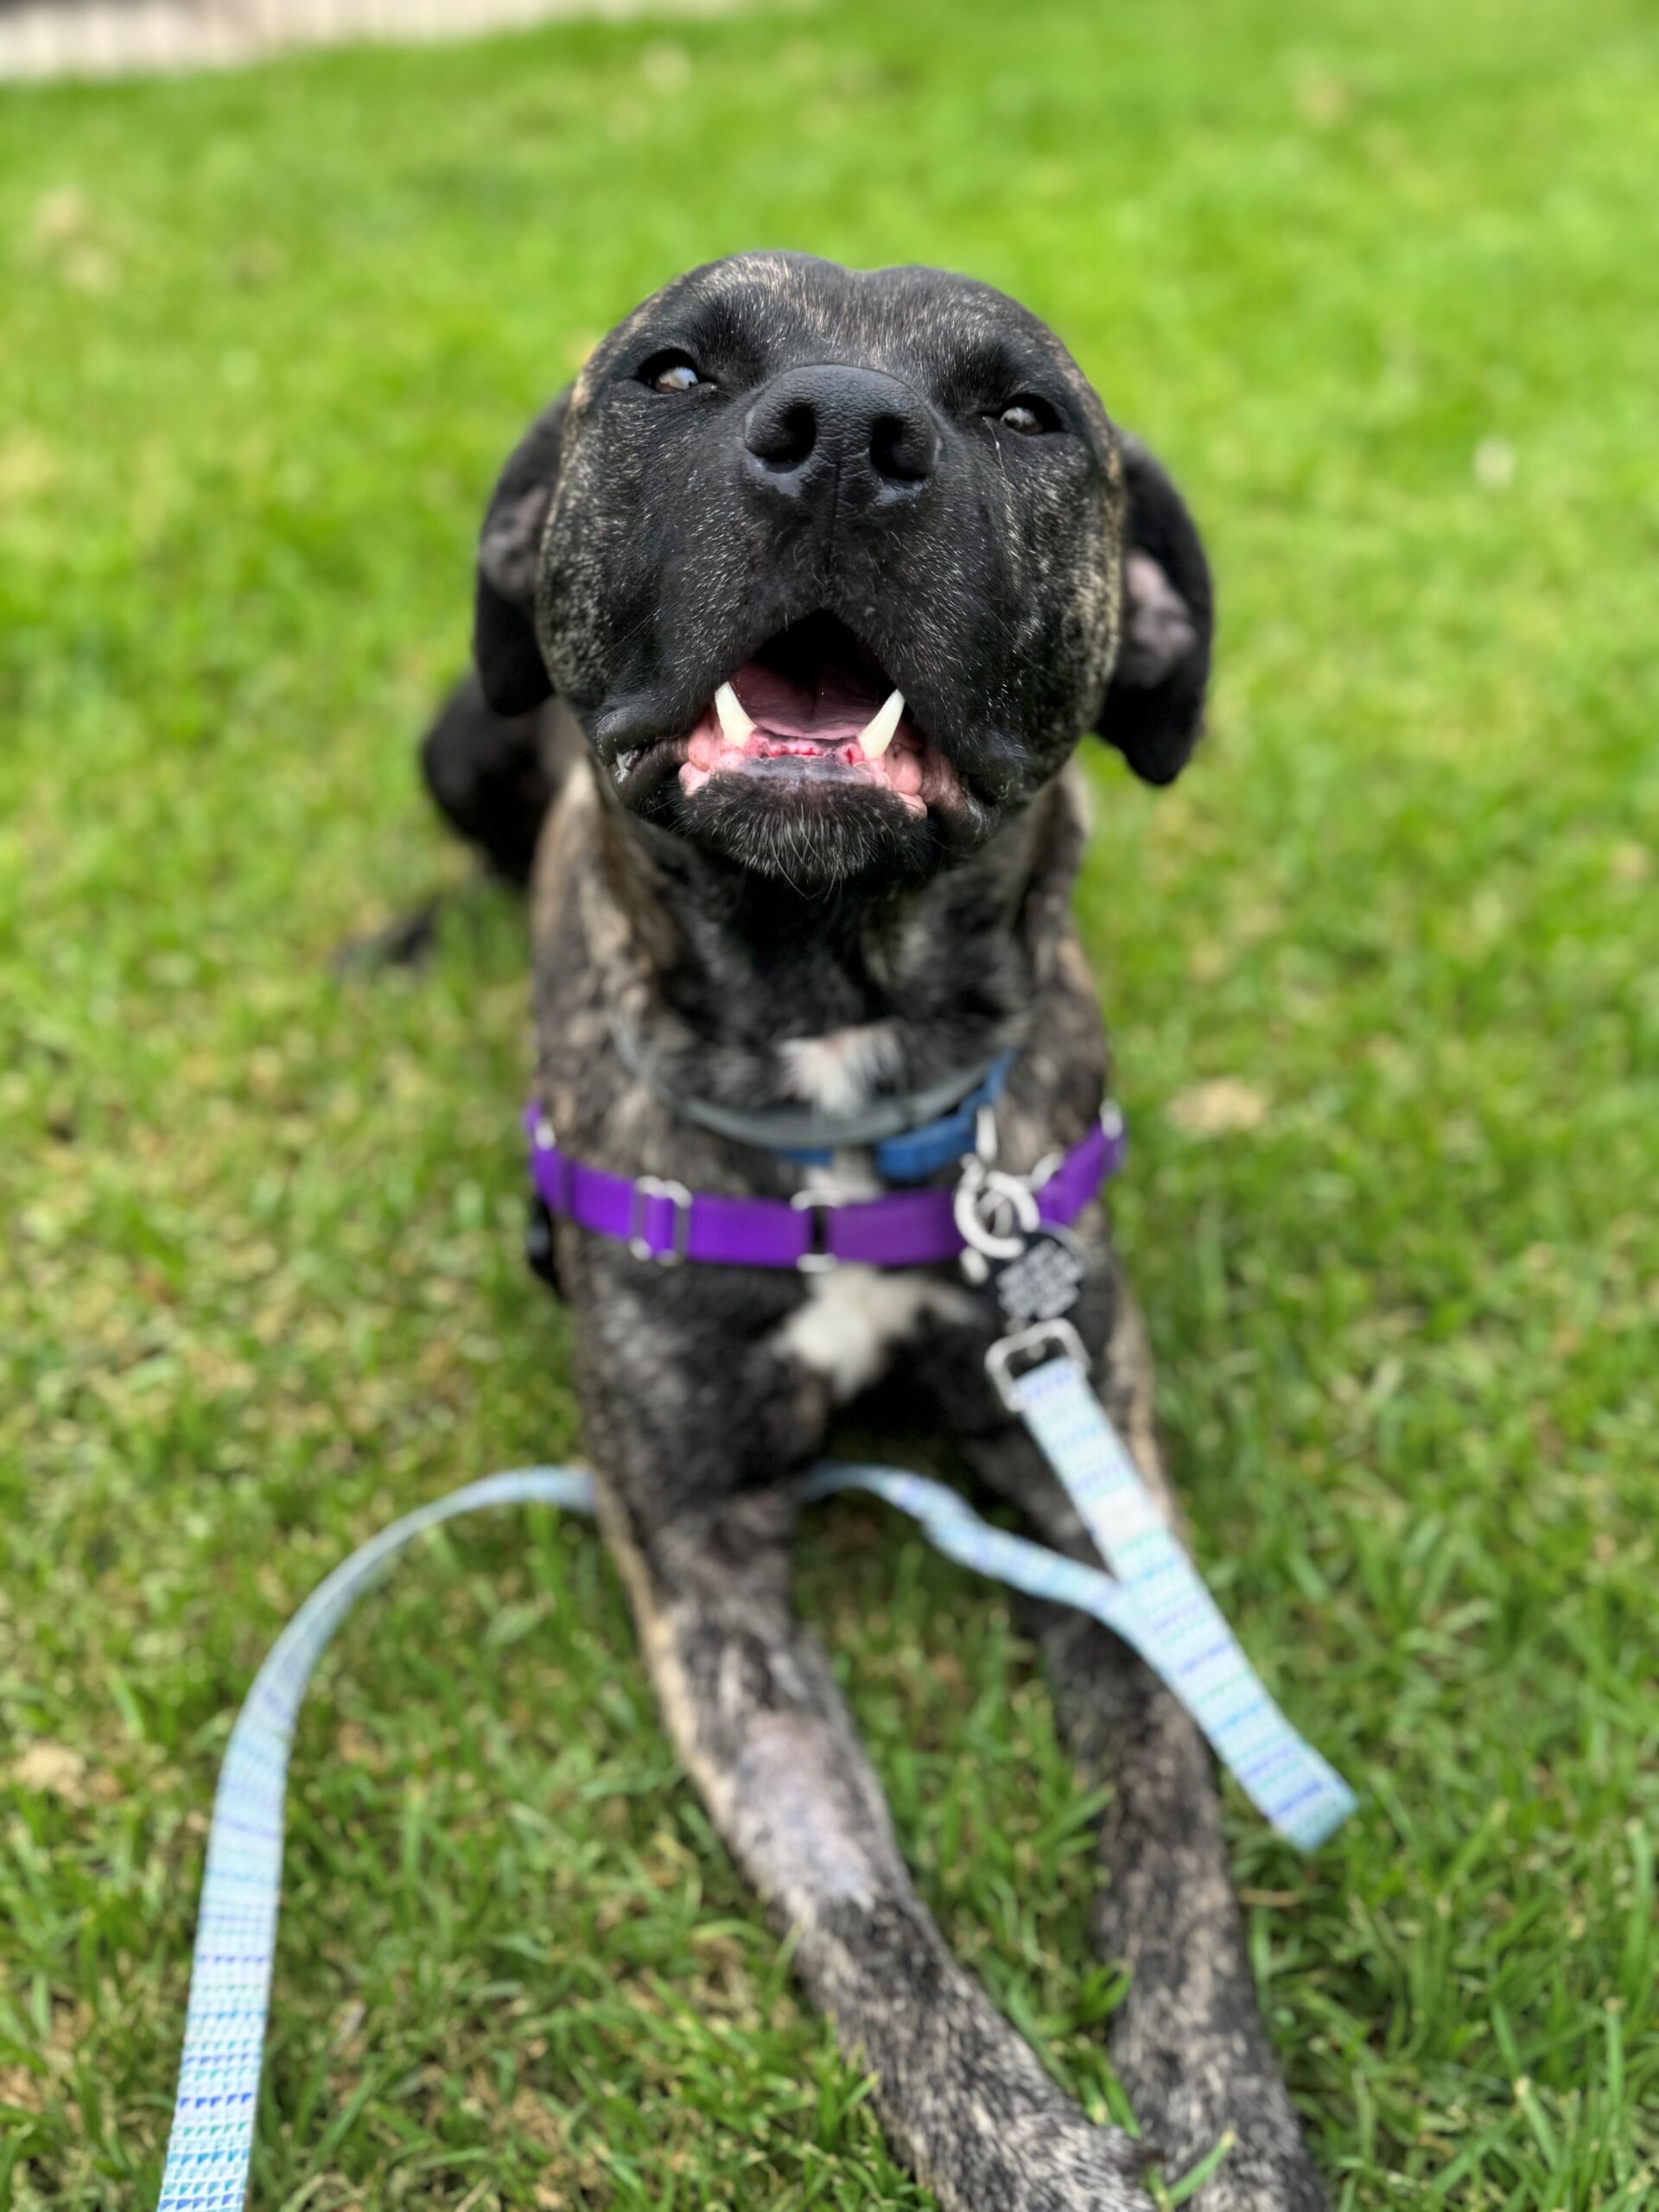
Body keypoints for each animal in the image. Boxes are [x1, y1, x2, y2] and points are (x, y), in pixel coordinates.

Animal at [419, 252, 1326, 2212]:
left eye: (1023, 411)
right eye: (673, 371)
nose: (844, 431)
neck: (836, 1052)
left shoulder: (1087, 1477)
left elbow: (1180, 1844)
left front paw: (1222, 2128)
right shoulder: (705, 1577)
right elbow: (869, 1922)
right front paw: (1044, 2157)